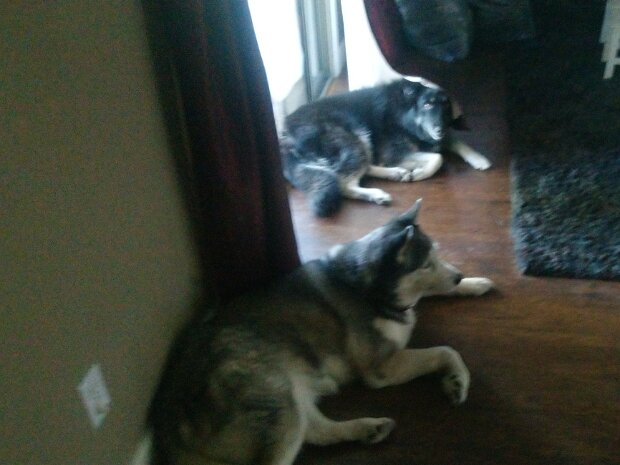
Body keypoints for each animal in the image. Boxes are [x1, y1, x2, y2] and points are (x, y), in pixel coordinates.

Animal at [148, 199, 494, 465]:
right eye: (424, 265)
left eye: (436, 255)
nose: (457, 274)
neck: (367, 288)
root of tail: (168, 415)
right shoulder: (381, 368)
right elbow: (445, 350)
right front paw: (457, 380)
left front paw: (473, 283)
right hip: (279, 404)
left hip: (291, 397)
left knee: (317, 431)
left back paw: (367, 429)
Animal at [280, 77, 491, 216]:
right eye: (427, 105)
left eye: (446, 107)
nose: (440, 129)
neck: (404, 111)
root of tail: (286, 137)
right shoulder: (395, 152)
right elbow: (438, 157)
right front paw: (420, 173)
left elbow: (455, 141)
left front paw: (479, 158)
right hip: (355, 136)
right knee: (344, 183)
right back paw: (377, 193)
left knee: (360, 169)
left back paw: (395, 173)